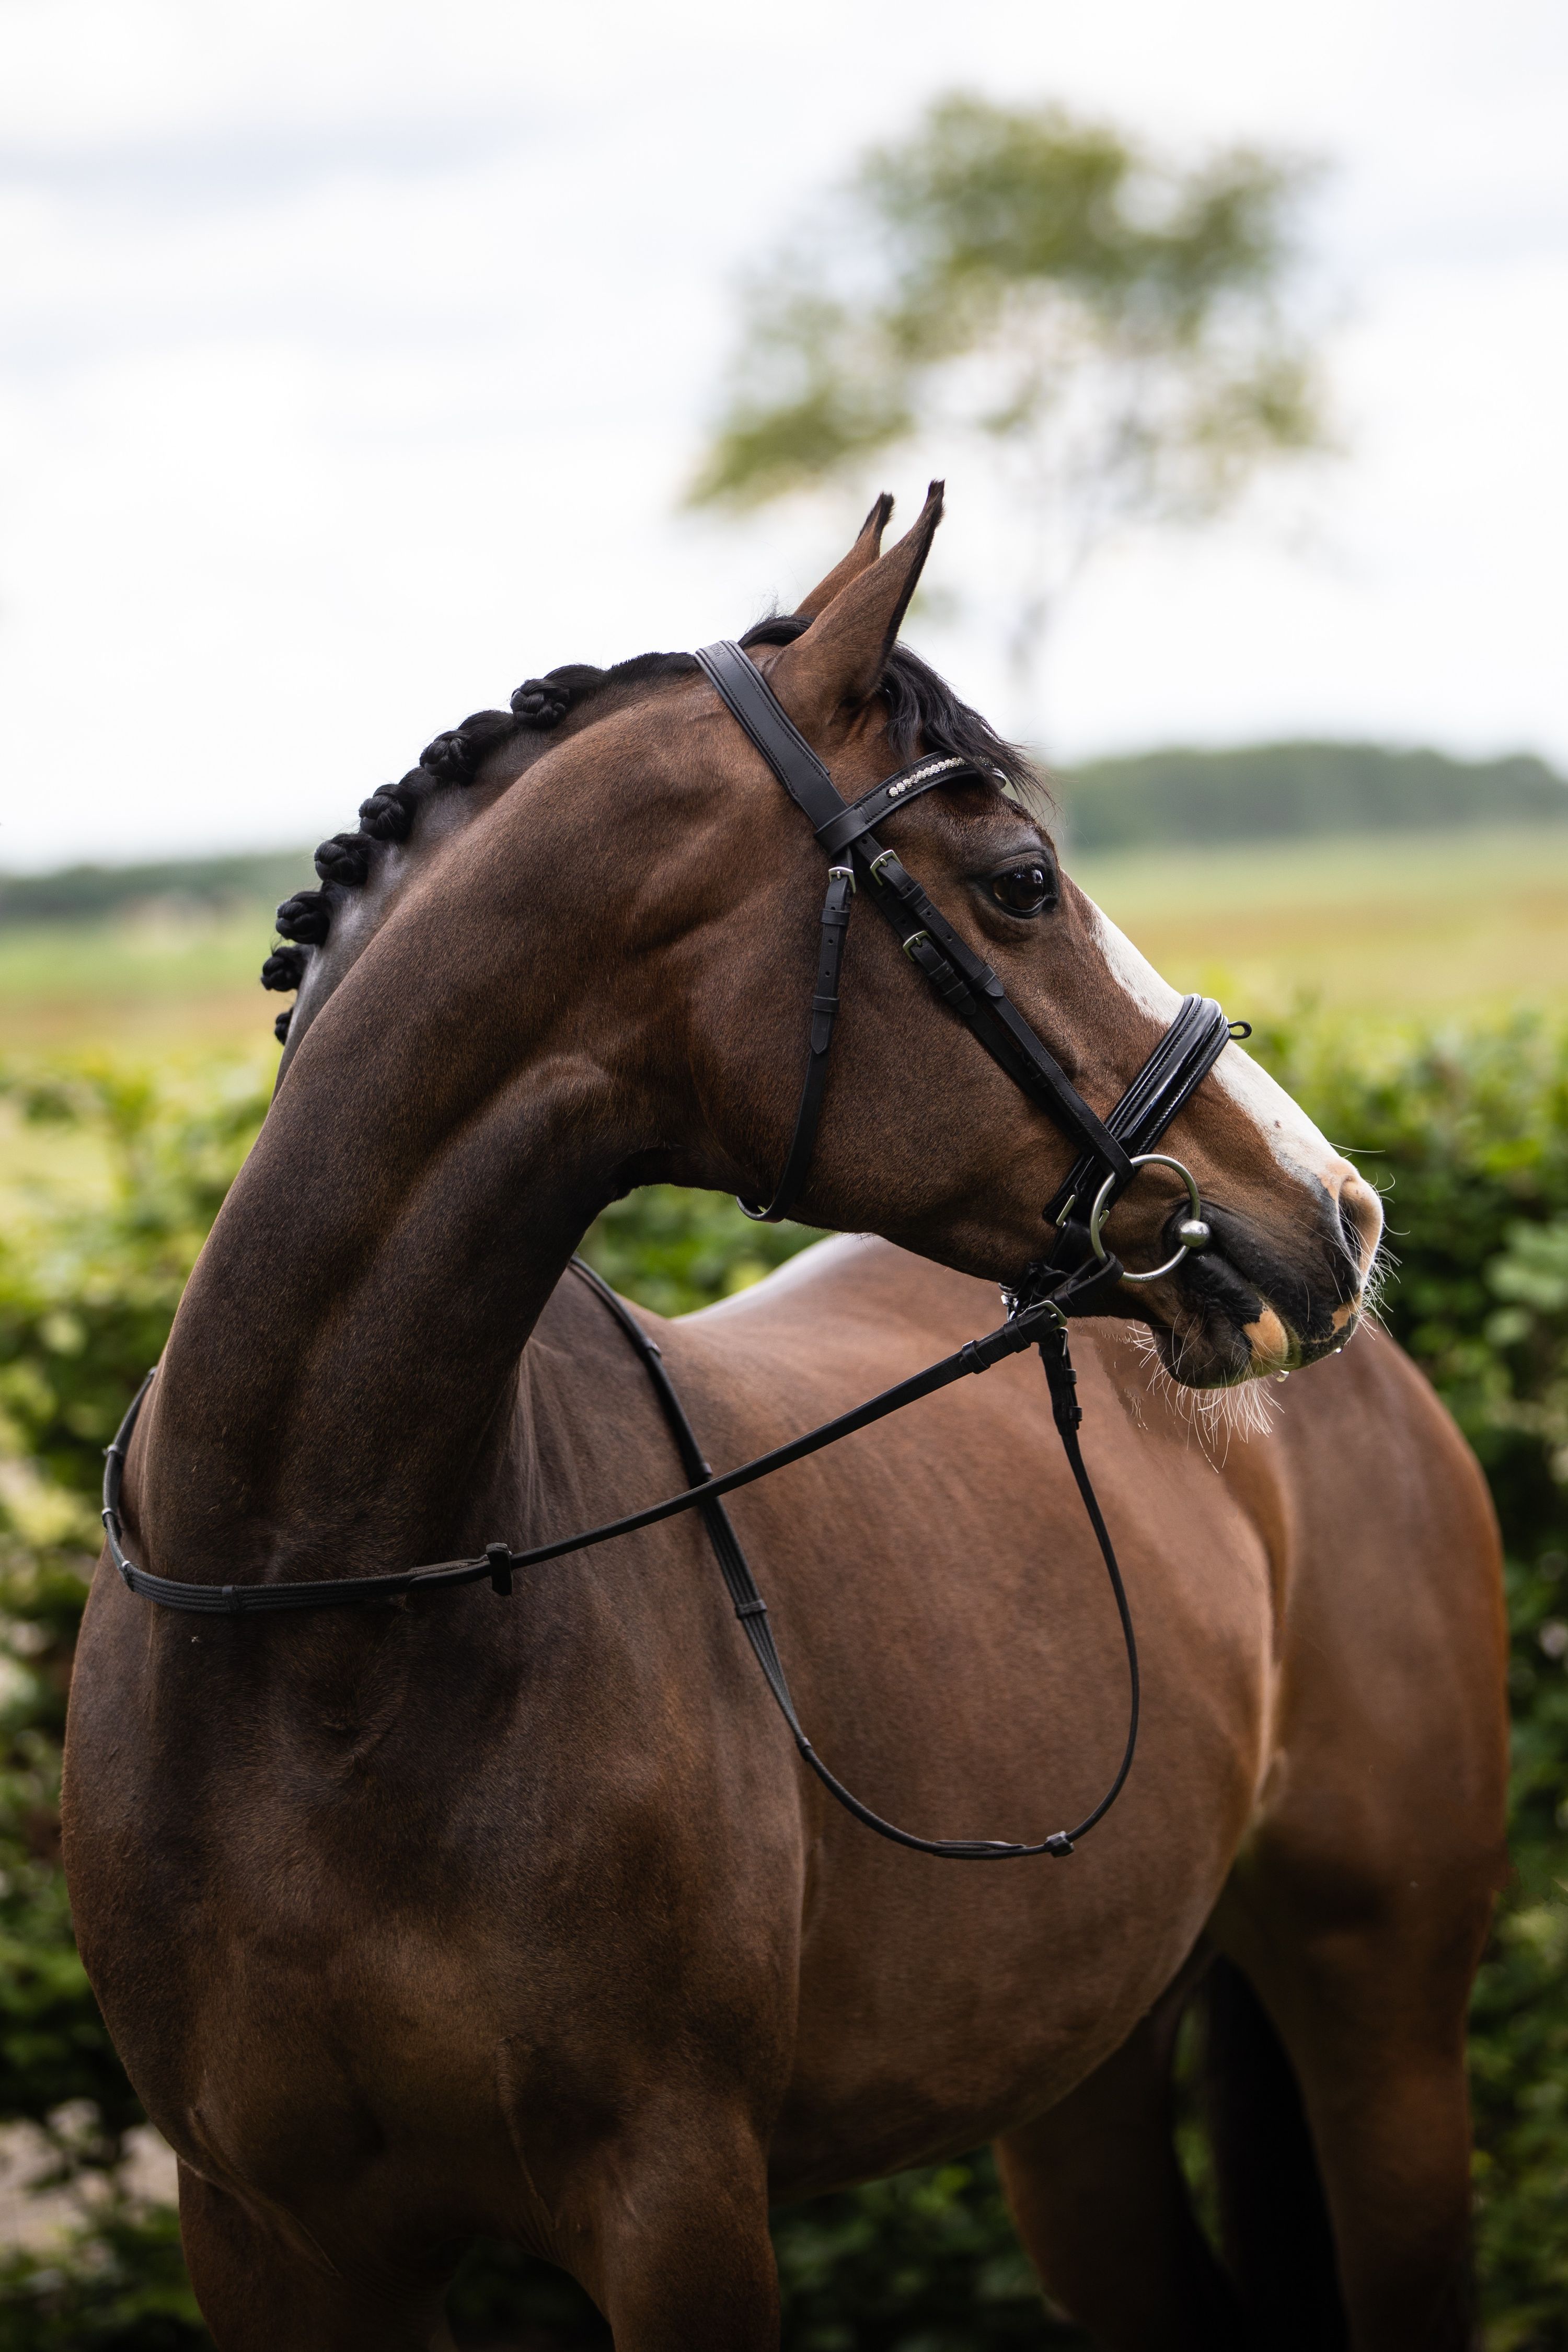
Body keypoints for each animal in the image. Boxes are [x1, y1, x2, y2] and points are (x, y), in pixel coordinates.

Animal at [63, 487, 1507, 2350]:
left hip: (1382, 2024)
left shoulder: (674, 2202)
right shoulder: (271, 2237)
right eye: (1020, 882)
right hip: (1082, 2086)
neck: (315, 1634)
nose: (1334, 1211)